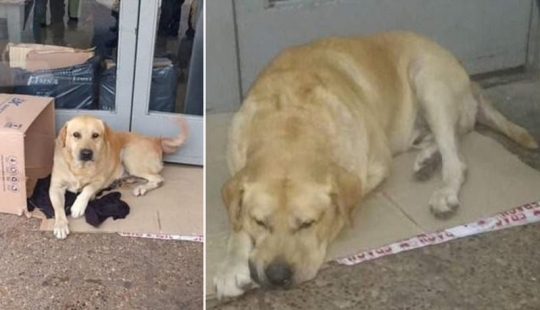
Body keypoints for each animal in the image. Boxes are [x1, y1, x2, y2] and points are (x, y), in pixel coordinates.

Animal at [213, 31, 536, 298]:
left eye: (308, 223)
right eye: (260, 222)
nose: (278, 275)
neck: (290, 123)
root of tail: (468, 76)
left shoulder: (373, 168)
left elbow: (344, 208)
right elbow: (237, 223)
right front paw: (231, 264)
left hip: (428, 81)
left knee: (457, 158)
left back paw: (444, 191)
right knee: (446, 142)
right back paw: (426, 161)